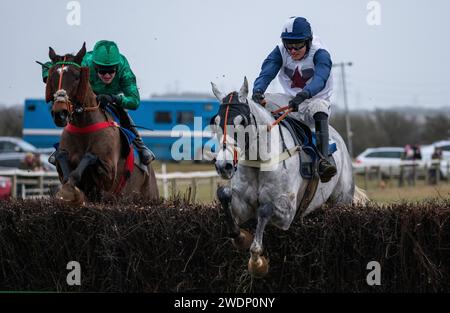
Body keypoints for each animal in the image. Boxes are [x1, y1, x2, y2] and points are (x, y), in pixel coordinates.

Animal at [44, 42, 159, 204]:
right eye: (52, 77)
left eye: (77, 77)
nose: (60, 113)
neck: (84, 126)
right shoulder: (63, 169)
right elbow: (64, 167)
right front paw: (67, 192)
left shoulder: (108, 173)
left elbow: (89, 158)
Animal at [211, 77, 366, 276]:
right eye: (215, 121)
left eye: (242, 121)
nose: (224, 165)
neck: (261, 161)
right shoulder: (243, 205)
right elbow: (224, 195)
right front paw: (240, 237)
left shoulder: (287, 212)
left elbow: (265, 209)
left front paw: (257, 262)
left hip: (341, 201)